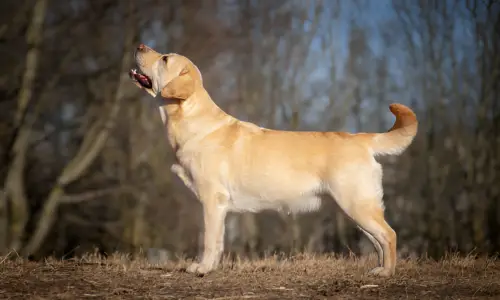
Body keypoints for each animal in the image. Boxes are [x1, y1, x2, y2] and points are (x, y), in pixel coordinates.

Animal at [129, 43, 418, 278]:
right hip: (355, 208)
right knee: (379, 240)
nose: (140, 45)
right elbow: (219, 241)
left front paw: (201, 268)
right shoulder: (219, 207)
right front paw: (210, 267)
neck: (191, 120)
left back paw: (387, 273)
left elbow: (210, 240)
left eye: (165, 58)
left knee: (389, 235)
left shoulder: (212, 200)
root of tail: (361, 138)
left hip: (357, 203)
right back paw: (379, 269)